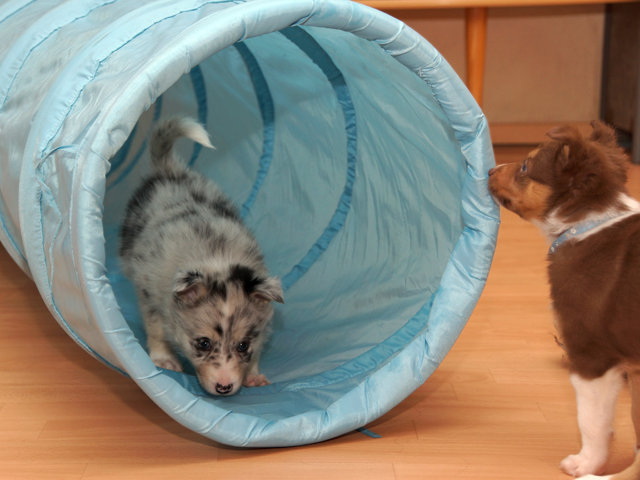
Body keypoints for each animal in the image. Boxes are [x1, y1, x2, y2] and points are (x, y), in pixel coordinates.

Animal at [120, 117, 283, 396]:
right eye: (203, 343)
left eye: (243, 345)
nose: (224, 387)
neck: (216, 259)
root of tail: (171, 170)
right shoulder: (149, 293)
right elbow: (156, 327)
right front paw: (164, 360)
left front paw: (254, 376)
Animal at [488, 121, 640, 480]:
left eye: (525, 167)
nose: (489, 169)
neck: (585, 223)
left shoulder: (591, 354)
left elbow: (592, 420)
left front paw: (585, 463)